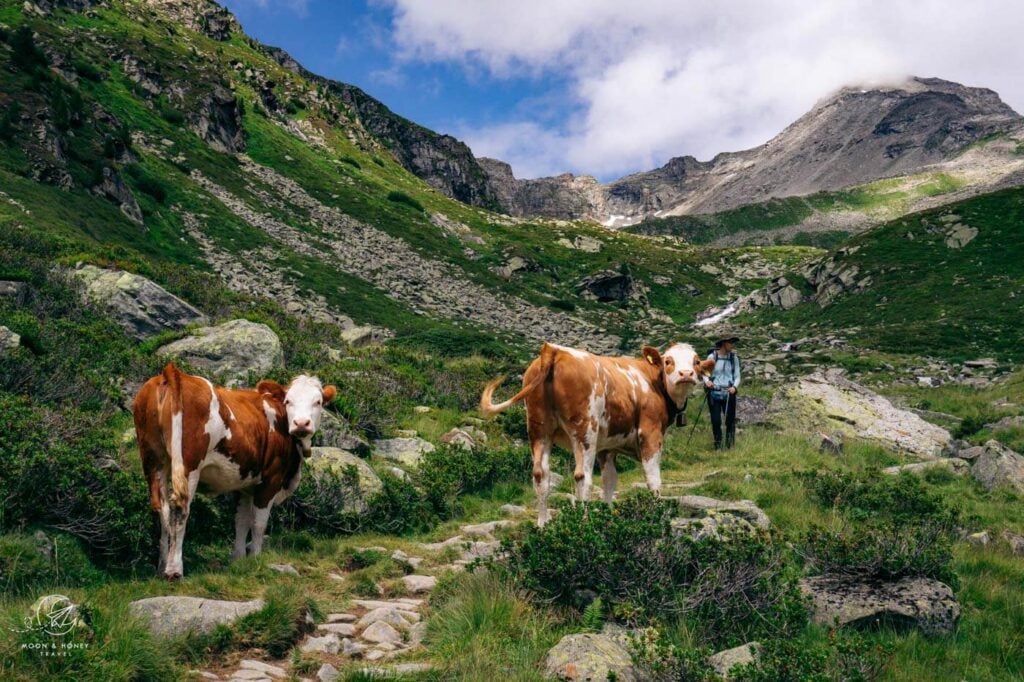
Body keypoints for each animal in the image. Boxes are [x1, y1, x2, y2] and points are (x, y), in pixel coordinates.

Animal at [132, 364, 335, 577]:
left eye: (318, 402)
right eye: (289, 401)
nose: (301, 423)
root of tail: (173, 373)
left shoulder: (246, 484)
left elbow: (241, 520)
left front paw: (238, 560)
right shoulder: (271, 479)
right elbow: (258, 523)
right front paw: (256, 559)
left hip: (153, 460)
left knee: (161, 509)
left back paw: (162, 566)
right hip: (188, 464)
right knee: (180, 508)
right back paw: (174, 570)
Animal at [479, 342, 712, 522]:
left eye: (696, 361)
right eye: (668, 361)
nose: (686, 374)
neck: (651, 381)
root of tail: (553, 351)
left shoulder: (607, 447)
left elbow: (609, 481)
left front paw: (607, 517)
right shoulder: (650, 433)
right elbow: (653, 479)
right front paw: (656, 515)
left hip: (538, 428)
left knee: (540, 475)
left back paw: (542, 527)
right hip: (585, 429)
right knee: (582, 477)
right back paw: (583, 524)